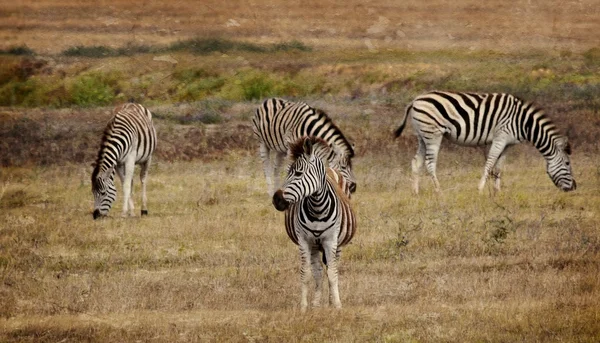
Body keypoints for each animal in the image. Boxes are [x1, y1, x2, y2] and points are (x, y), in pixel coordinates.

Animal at [272, 136, 356, 312]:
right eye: (287, 172)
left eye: (298, 173)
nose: (276, 199)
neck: (317, 208)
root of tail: (331, 168)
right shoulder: (304, 241)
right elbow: (306, 274)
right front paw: (304, 307)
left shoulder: (330, 240)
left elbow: (332, 274)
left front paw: (336, 305)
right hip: (315, 246)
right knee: (318, 271)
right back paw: (316, 303)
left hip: (337, 244)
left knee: (332, 268)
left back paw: (330, 300)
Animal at [394, 90, 576, 194]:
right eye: (567, 163)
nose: (574, 187)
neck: (524, 123)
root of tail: (416, 99)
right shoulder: (500, 137)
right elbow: (489, 163)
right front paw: (480, 189)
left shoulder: (508, 144)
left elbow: (499, 166)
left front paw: (496, 191)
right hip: (433, 134)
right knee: (430, 163)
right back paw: (439, 191)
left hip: (422, 135)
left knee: (416, 162)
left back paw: (415, 192)